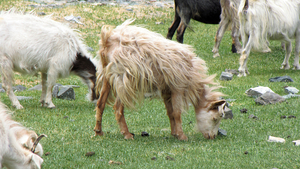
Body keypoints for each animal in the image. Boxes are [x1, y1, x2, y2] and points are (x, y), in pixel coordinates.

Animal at [95, 20, 226, 141]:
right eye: (215, 118)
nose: (212, 136)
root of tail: (108, 40)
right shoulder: (178, 87)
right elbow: (177, 113)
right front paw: (182, 136)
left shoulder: (166, 89)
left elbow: (170, 112)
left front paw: (174, 133)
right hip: (123, 79)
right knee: (118, 108)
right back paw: (127, 134)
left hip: (107, 74)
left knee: (100, 103)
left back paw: (98, 131)